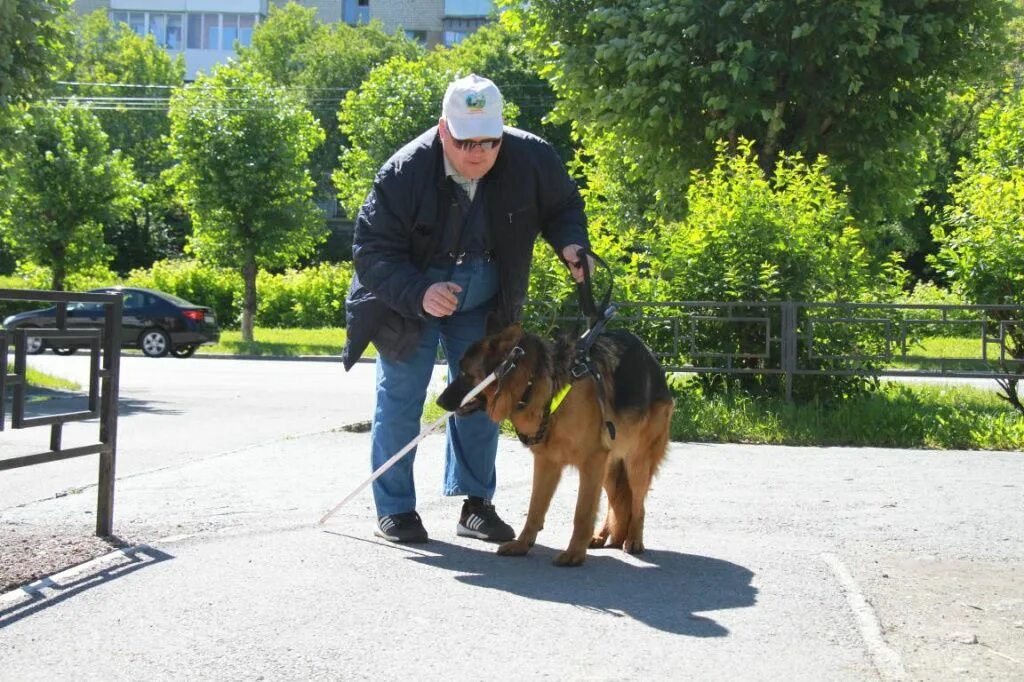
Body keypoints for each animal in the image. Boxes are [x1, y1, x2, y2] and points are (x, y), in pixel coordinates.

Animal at [438, 323, 671, 561]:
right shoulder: (547, 463)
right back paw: (601, 535)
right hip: (608, 469)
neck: (536, 383)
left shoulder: (591, 463)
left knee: (638, 504)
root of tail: (652, 360)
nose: (439, 401)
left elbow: (582, 513)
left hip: (636, 463)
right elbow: (535, 509)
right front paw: (522, 544)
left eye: (465, 373)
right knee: (616, 503)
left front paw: (574, 553)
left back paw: (634, 539)